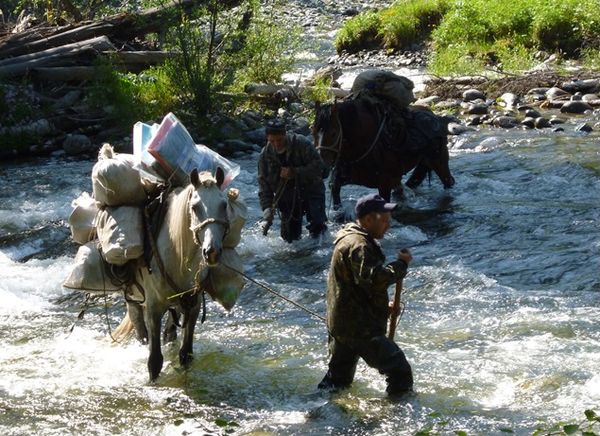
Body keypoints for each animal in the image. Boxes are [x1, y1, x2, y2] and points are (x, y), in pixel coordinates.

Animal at [120, 169, 230, 380]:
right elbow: (154, 361)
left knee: (170, 331)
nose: (212, 252)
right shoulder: (153, 309)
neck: (178, 257)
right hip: (133, 296)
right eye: (195, 207)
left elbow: (186, 354)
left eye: (224, 204)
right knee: (140, 328)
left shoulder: (194, 306)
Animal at [314, 99, 454, 215]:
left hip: (439, 161)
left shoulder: (384, 185)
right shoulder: (341, 178)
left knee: (448, 181)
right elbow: (335, 191)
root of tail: (434, 115)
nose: (322, 168)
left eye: (333, 133)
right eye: (313, 131)